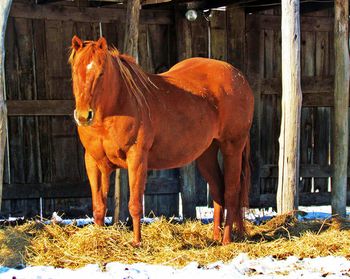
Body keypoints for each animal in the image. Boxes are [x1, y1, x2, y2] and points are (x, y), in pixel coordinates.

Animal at [69, 36, 254, 246]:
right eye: (75, 71)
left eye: (101, 73)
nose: (83, 116)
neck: (117, 106)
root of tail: (238, 77)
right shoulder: (93, 162)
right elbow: (99, 206)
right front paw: (98, 239)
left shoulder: (137, 158)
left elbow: (135, 205)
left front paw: (137, 243)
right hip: (206, 153)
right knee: (218, 190)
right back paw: (215, 237)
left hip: (233, 147)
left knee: (231, 191)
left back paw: (226, 240)